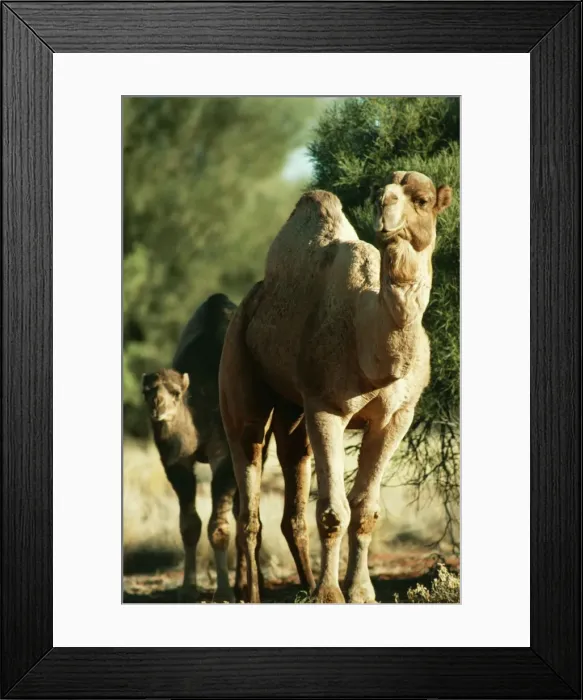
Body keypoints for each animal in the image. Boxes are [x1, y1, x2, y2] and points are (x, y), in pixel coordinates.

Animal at [143, 293, 315, 602]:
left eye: (175, 392)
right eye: (148, 391)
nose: (157, 408)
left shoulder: (223, 453)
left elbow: (218, 526)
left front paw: (224, 592)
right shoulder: (175, 461)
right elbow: (189, 524)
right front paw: (187, 590)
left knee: (241, 510)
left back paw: (247, 585)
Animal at [219, 171, 452, 602]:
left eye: (423, 200)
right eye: (381, 192)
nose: (385, 204)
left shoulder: (398, 417)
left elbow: (366, 509)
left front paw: (360, 591)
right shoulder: (326, 408)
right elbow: (332, 511)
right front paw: (330, 594)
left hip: (294, 413)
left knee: (292, 484)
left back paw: (303, 585)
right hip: (238, 372)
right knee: (249, 499)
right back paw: (253, 594)